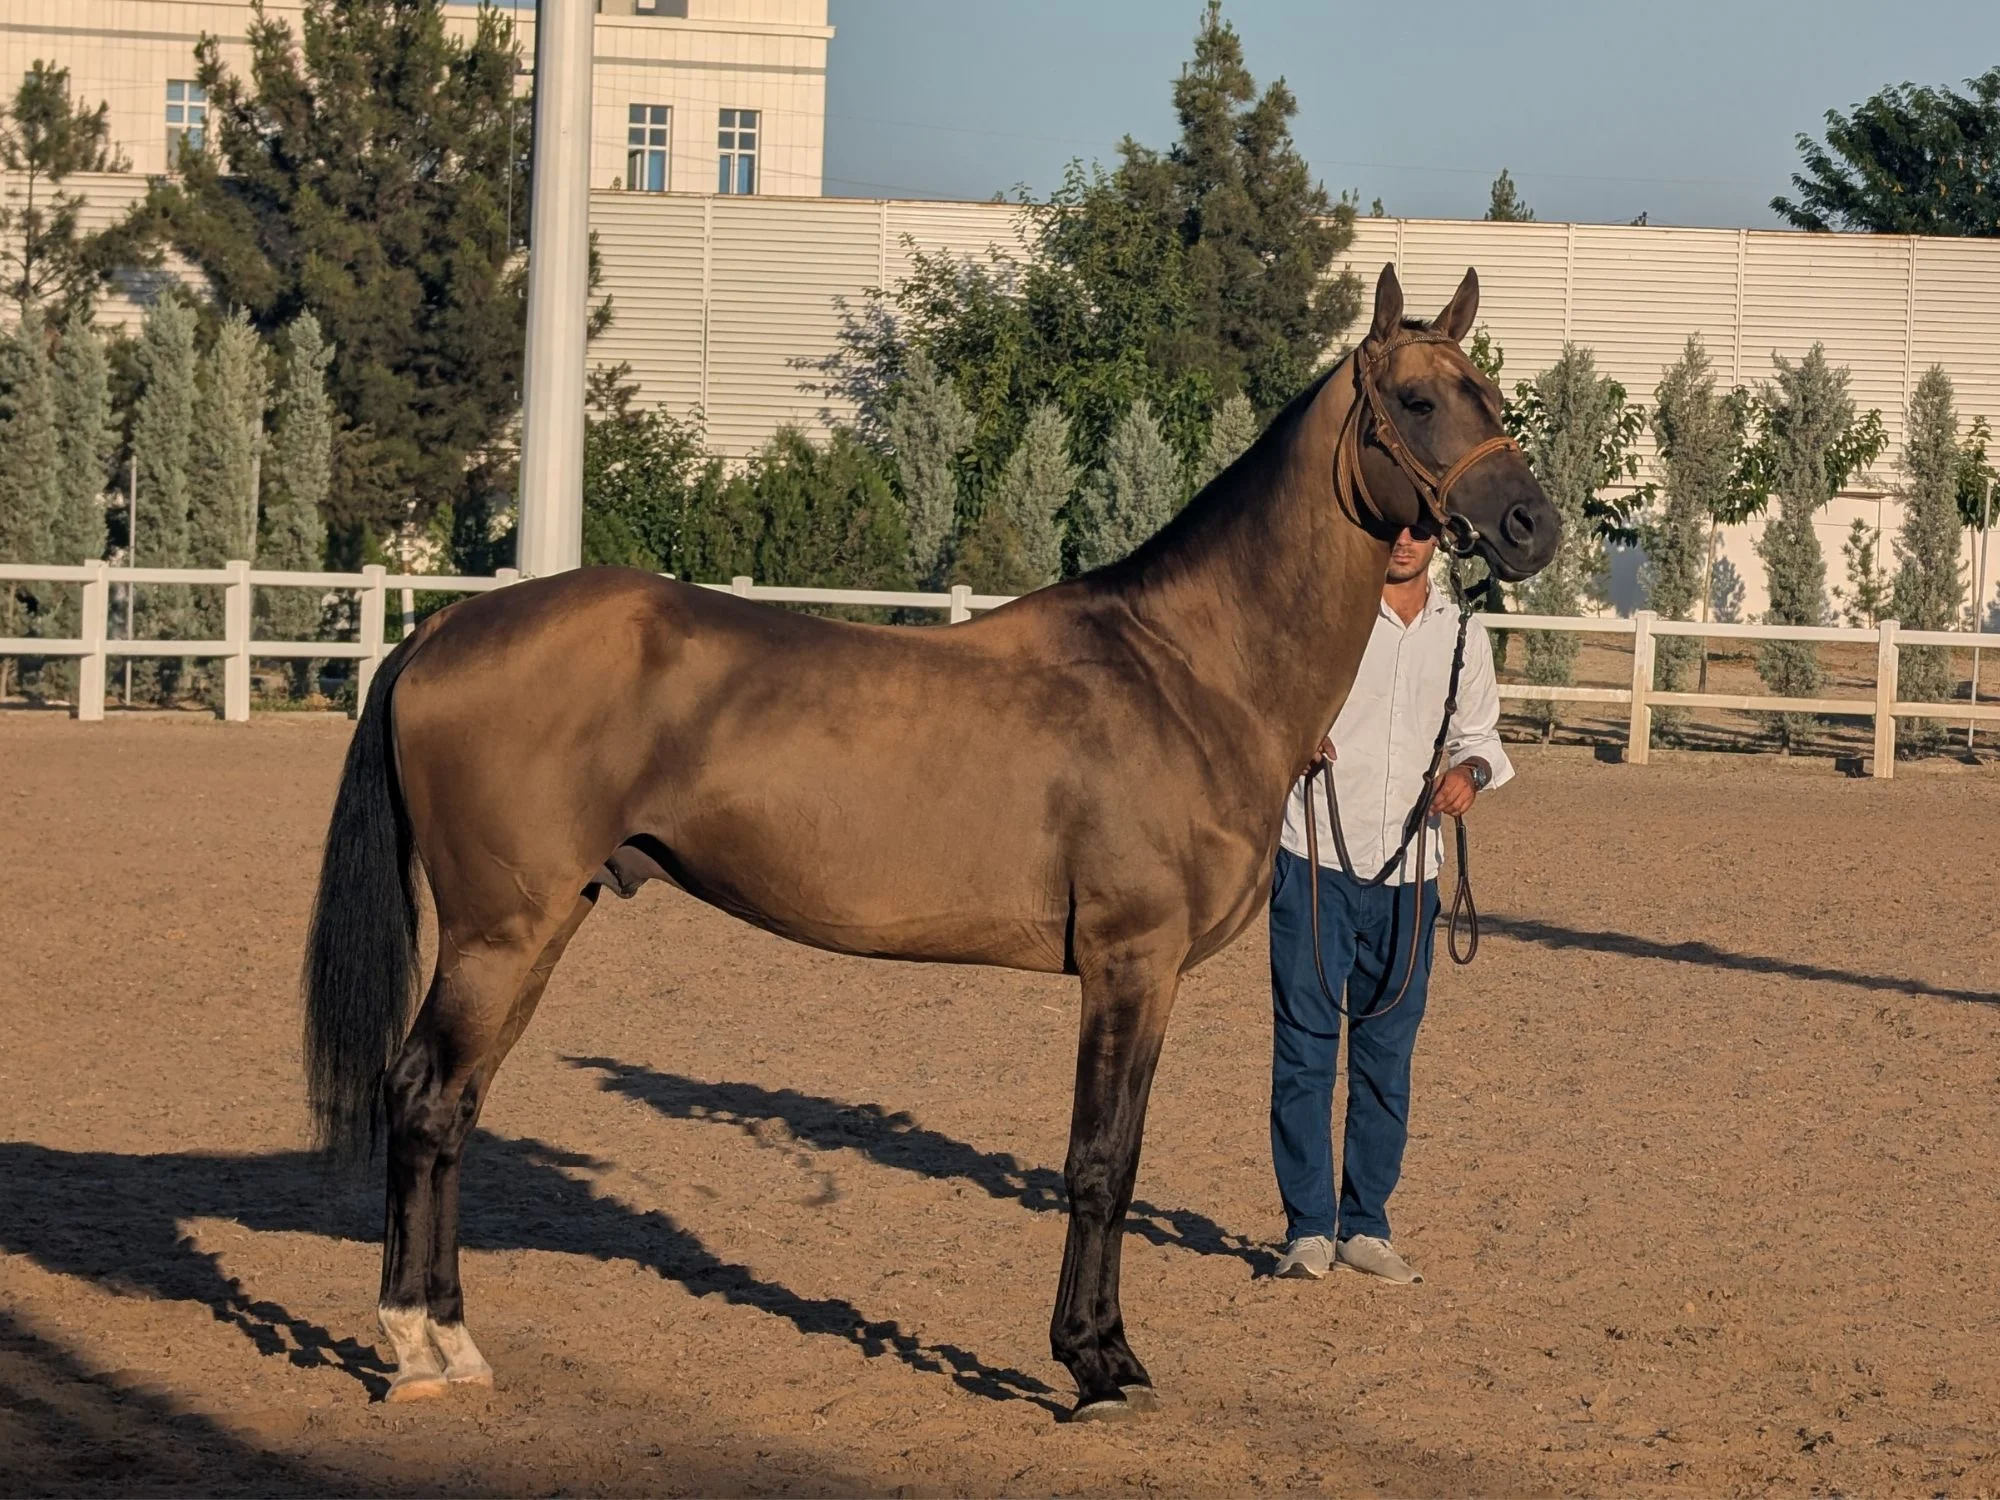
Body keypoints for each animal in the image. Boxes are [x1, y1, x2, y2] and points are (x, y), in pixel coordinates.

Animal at [302, 263, 1560, 1421]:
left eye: (1490, 394)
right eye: (1414, 400)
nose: (1530, 526)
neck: (1185, 670)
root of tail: (443, 627)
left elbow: (1109, 1159)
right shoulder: (1129, 965)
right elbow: (1100, 1166)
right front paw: (1097, 1365)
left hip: (541, 923)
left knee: (458, 1105)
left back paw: (451, 1343)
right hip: (498, 932)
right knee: (423, 1096)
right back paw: (416, 1345)